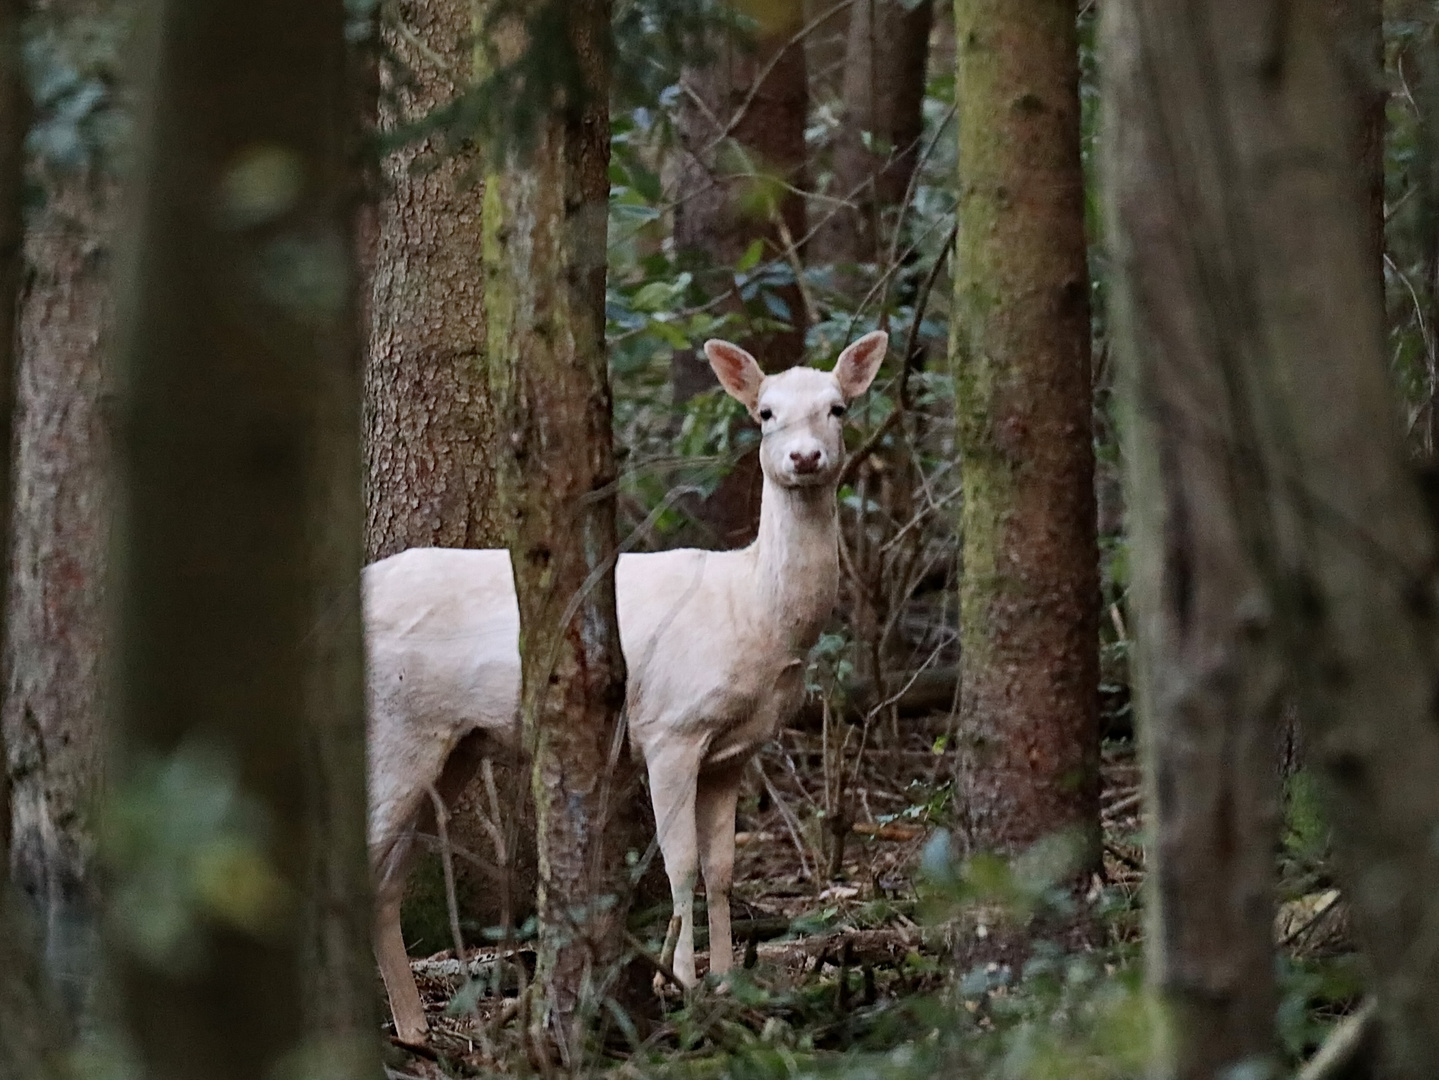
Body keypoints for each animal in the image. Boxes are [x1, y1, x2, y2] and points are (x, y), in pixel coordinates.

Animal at [365, 332, 880, 1046]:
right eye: (765, 413)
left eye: (837, 408)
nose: (805, 458)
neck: (751, 609)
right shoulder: (671, 727)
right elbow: (681, 862)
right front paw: (682, 981)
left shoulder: (736, 750)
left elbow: (722, 868)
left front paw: (727, 981)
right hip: (395, 722)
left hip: (453, 740)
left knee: (387, 879)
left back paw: (415, 1029)